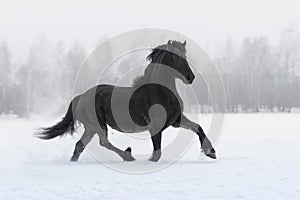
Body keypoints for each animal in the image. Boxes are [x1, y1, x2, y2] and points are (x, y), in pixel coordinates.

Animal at [37, 39, 216, 162]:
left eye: (185, 56)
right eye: (176, 58)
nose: (191, 77)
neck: (161, 92)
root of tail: (80, 97)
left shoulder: (176, 120)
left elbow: (197, 127)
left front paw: (211, 152)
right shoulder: (155, 126)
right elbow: (157, 152)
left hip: (91, 127)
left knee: (80, 145)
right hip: (98, 125)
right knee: (103, 142)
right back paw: (128, 155)